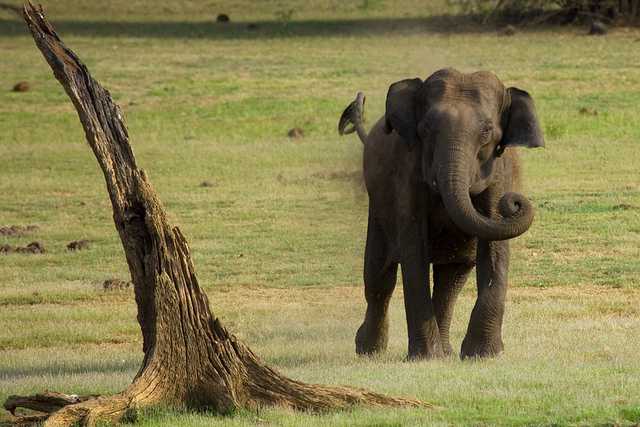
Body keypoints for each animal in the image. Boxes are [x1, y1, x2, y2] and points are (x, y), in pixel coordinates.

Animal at [338, 69, 544, 362]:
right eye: (425, 130)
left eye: (487, 132)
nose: (514, 202)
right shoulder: (408, 173)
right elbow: (414, 251)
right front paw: (425, 358)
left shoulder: (501, 173)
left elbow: (494, 251)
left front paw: (483, 355)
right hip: (377, 207)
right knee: (379, 278)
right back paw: (369, 351)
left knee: (452, 279)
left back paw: (446, 352)